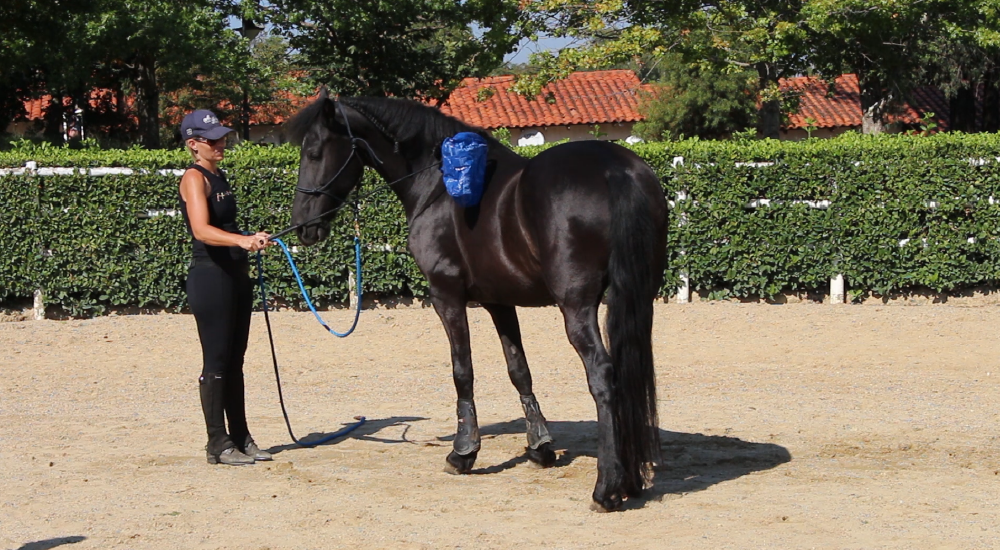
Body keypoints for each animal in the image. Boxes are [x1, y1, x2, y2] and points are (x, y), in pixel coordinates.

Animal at [285, 88, 668, 512]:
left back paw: (607, 487)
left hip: (576, 307)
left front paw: (463, 452)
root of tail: (615, 170)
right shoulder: (501, 301)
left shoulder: (446, 296)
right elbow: (519, 369)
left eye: (314, 152)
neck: (438, 185)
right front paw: (540, 446)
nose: (302, 226)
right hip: (638, 300)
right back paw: (631, 479)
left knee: (602, 373)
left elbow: (462, 371)